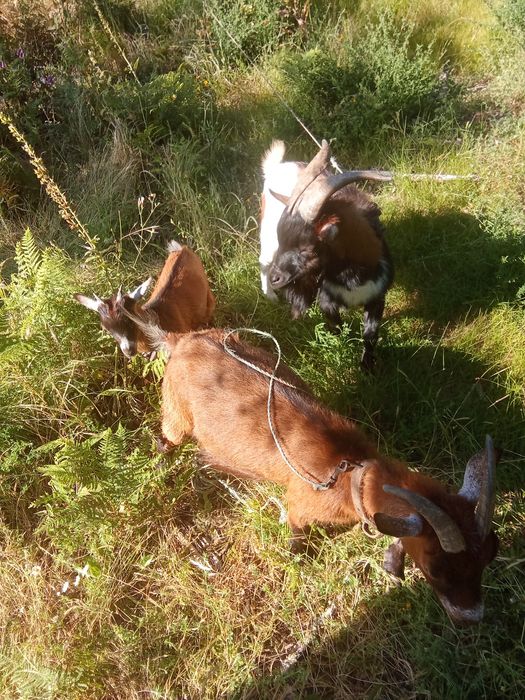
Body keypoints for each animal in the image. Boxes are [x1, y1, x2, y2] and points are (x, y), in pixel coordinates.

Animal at [157, 327, 499, 625]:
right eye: (437, 568)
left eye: (488, 558)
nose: (472, 618)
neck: (351, 478)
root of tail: (180, 340)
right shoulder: (299, 504)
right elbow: (295, 536)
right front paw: (295, 561)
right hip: (174, 411)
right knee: (168, 439)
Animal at [261, 140, 393, 370]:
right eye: (283, 240)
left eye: (307, 249)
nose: (276, 279)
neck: (352, 277)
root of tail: (278, 167)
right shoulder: (326, 299)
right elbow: (337, 326)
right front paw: (342, 349)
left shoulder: (378, 295)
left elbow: (370, 334)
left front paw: (367, 366)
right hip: (267, 241)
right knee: (262, 262)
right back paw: (269, 294)